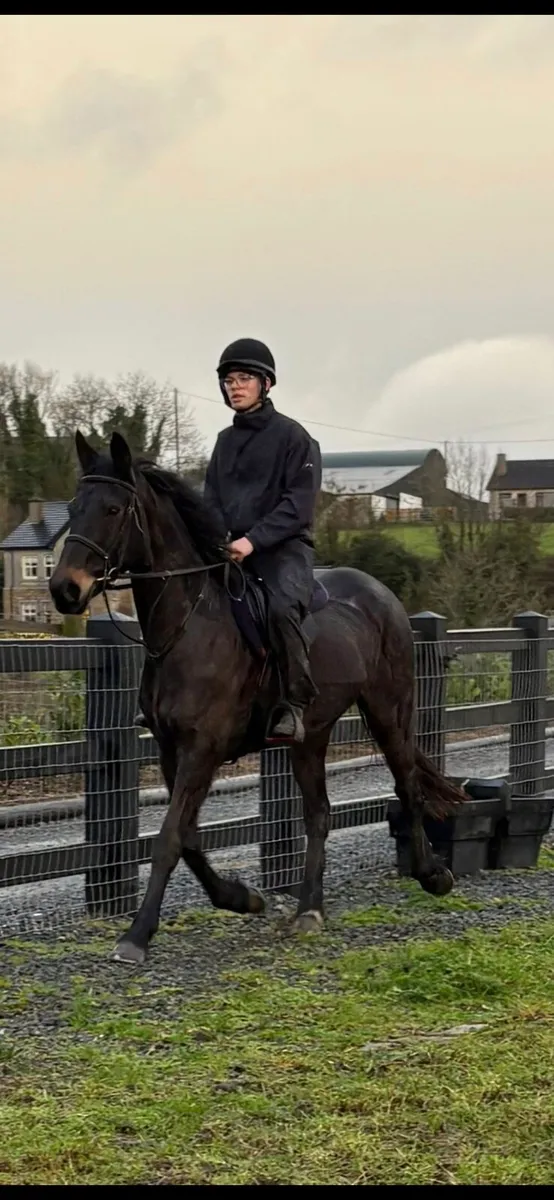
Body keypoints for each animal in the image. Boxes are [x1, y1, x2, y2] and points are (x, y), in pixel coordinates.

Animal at [49, 430, 466, 965]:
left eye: (114, 509)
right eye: (74, 507)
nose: (64, 589)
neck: (189, 628)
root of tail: (384, 597)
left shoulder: (201, 750)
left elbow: (168, 838)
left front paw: (137, 935)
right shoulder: (171, 751)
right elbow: (188, 837)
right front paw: (240, 898)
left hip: (389, 712)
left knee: (408, 786)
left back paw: (432, 875)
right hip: (311, 737)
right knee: (319, 814)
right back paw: (310, 909)